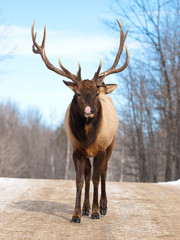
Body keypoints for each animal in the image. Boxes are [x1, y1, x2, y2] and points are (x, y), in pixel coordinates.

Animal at [31, 19, 129, 223]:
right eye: (77, 93)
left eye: (96, 94)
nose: (89, 110)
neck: (87, 137)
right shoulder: (76, 150)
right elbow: (79, 180)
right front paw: (76, 214)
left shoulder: (101, 148)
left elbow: (97, 178)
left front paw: (96, 211)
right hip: (87, 153)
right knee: (88, 173)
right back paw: (85, 208)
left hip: (112, 143)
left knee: (103, 171)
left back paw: (103, 206)